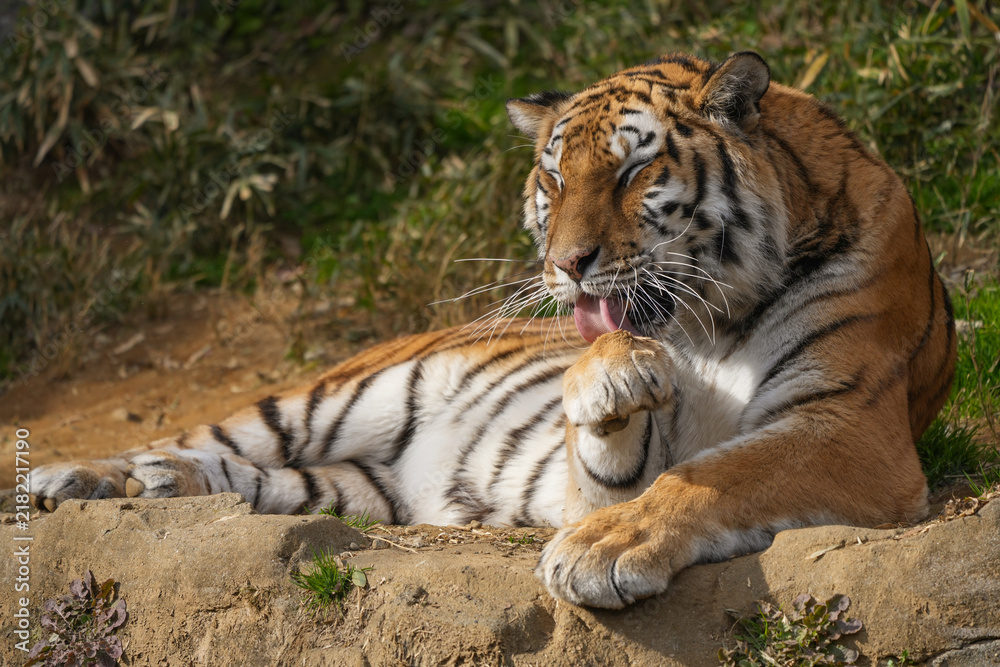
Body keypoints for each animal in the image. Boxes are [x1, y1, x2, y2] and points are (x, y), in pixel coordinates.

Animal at [29, 51, 956, 609]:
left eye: (633, 170)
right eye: (555, 175)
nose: (567, 264)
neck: (714, 316)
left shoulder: (848, 424)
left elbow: (716, 473)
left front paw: (602, 548)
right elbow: (633, 436)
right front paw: (616, 375)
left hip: (357, 487)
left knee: (254, 480)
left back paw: (153, 484)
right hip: (318, 401)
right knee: (199, 438)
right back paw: (75, 477)